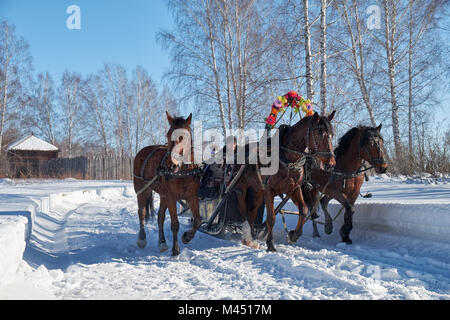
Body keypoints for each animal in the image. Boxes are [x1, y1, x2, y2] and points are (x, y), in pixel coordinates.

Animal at [133, 111, 201, 256]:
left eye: (184, 136)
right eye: (168, 134)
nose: (171, 164)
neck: (182, 172)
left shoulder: (192, 196)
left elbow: (198, 220)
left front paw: (187, 237)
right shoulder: (171, 197)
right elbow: (175, 224)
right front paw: (175, 250)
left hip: (163, 194)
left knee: (160, 216)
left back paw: (162, 242)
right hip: (142, 189)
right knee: (141, 212)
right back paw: (142, 239)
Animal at [234, 111, 336, 251]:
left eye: (332, 134)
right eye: (320, 133)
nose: (331, 163)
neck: (287, 159)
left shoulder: (293, 189)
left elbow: (303, 210)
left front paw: (293, 235)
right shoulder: (269, 190)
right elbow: (271, 218)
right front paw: (270, 244)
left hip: (258, 190)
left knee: (252, 211)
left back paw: (251, 238)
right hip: (242, 185)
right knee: (242, 205)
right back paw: (246, 234)